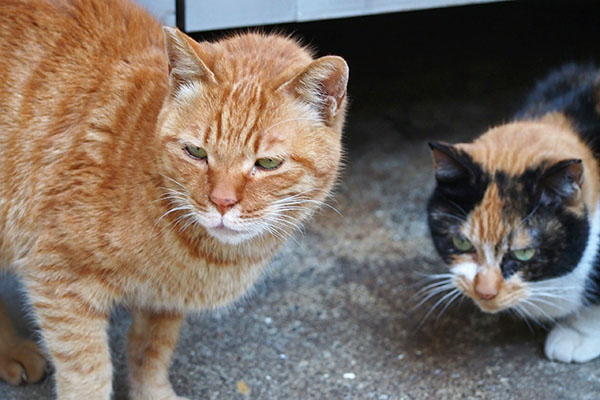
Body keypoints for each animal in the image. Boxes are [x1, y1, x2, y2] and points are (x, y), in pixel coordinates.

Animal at [0, 0, 350, 396]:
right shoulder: (59, 281)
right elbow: (88, 374)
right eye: (196, 152)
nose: (222, 202)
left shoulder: (164, 303)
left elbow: (151, 351)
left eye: (268, 163)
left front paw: (152, 391)